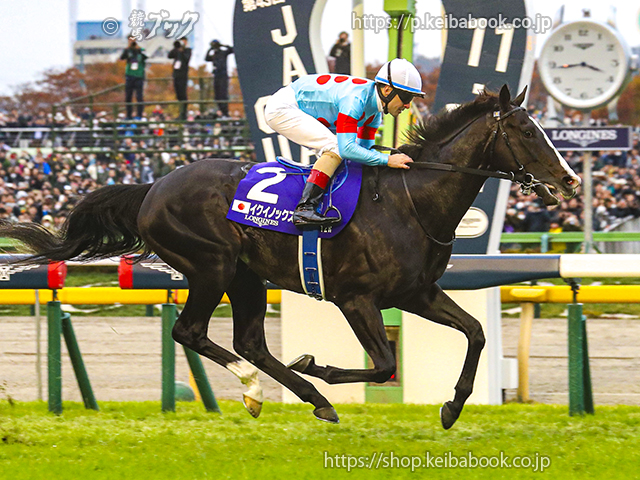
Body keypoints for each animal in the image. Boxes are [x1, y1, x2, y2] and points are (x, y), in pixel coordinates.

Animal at [0, 85, 580, 429]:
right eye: (525, 130)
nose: (571, 179)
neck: (409, 201)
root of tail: (153, 187)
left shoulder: (417, 292)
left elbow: (475, 333)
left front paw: (453, 406)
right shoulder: (356, 298)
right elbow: (384, 365)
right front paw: (317, 364)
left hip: (246, 277)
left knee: (250, 342)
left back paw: (303, 397)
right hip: (211, 265)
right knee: (191, 332)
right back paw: (265, 390)